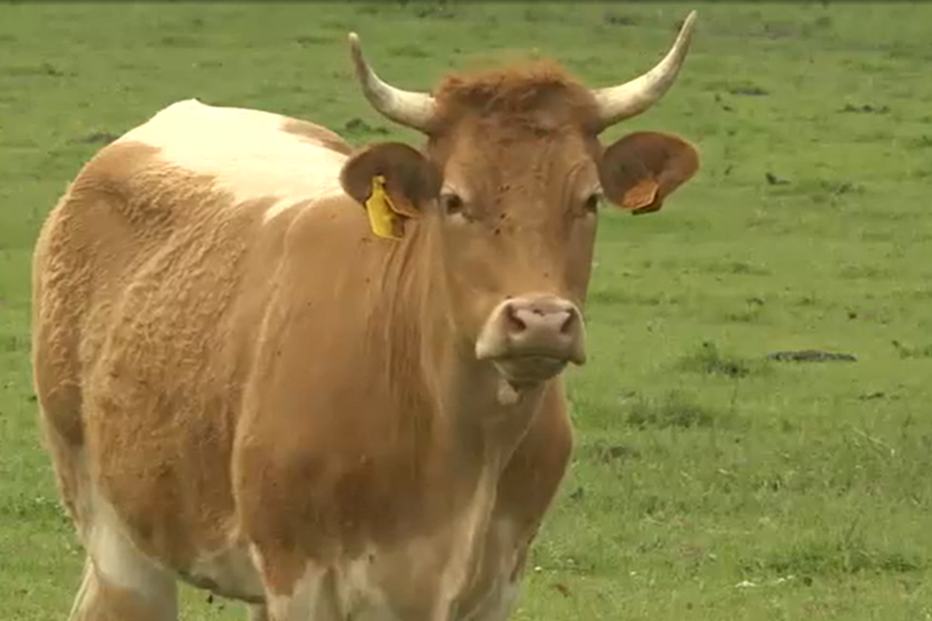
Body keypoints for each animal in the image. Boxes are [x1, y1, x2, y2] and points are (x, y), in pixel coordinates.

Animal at [31, 12, 701, 621]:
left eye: (590, 200)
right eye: (453, 199)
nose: (539, 320)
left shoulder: (496, 583)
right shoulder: (300, 580)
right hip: (114, 526)